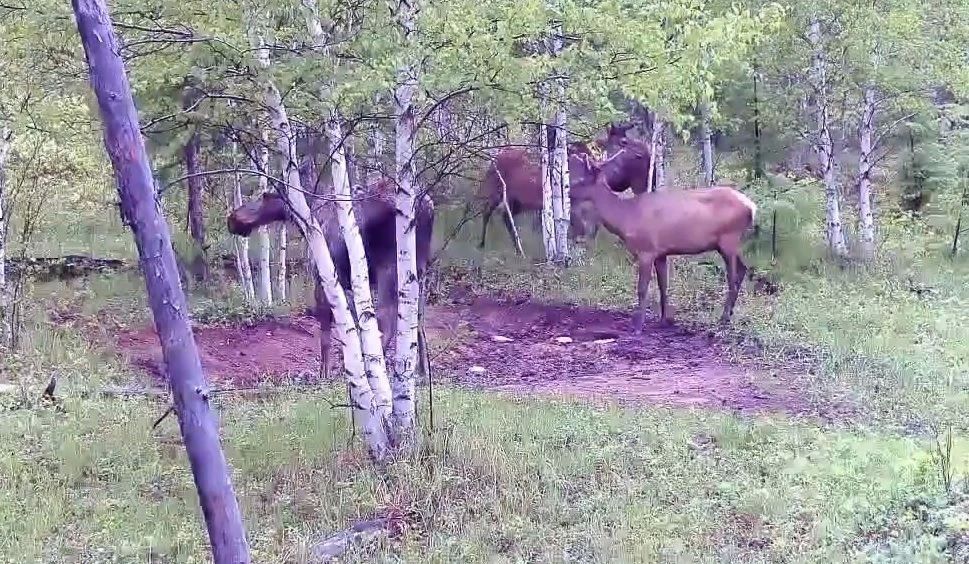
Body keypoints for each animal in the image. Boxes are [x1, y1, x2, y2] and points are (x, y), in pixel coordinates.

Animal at [226, 176, 435, 379]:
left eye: (261, 196)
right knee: (417, 319)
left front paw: (325, 372)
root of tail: (427, 209)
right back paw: (422, 372)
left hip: (389, 265)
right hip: (418, 268)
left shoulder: (324, 275)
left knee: (386, 317)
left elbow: (328, 329)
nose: (232, 219)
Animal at [476, 123, 657, 253]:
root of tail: (495, 158)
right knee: (487, 211)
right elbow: (578, 228)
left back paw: (517, 248)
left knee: (505, 217)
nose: (643, 153)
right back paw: (482, 243)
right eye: (623, 142)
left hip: (518, 200)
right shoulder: (572, 201)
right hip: (496, 190)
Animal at [570, 143, 757, 332]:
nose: (569, 192)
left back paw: (724, 317)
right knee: (743, 269)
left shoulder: (646, 250)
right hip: (729, 243)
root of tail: (752, 207)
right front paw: (664, 320)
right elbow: (663, 286)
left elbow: (642, 288)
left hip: (729, 238)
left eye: (582, 180)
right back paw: (729, 313)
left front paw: (638, 325)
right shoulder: (661, 253)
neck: (626, 217)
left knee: (732, 277)